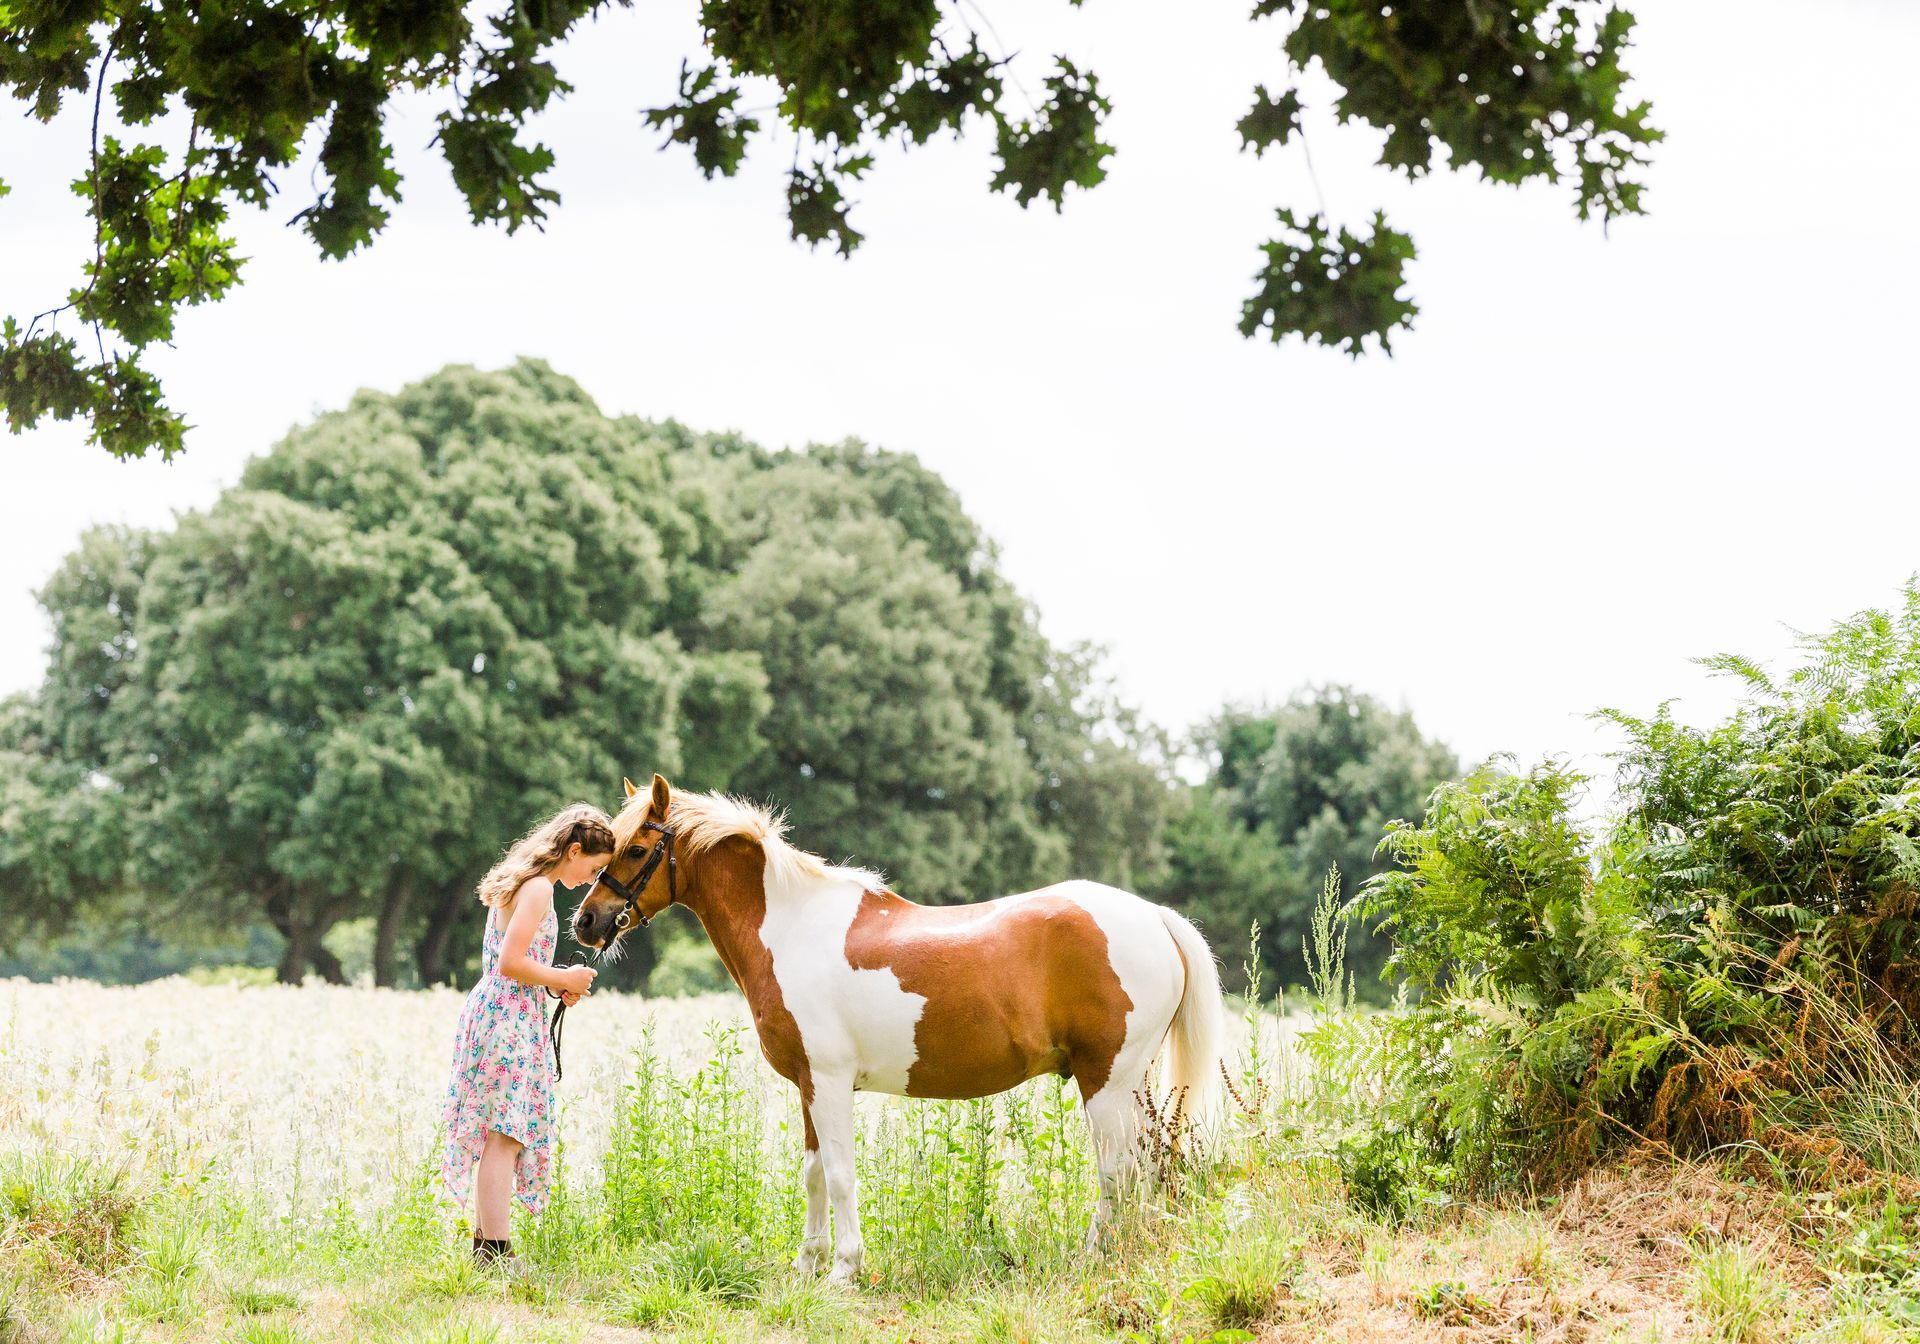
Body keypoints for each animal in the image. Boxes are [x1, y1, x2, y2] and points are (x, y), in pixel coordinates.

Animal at [570, 773, 1226, 1284]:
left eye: (636, 849)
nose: (586, 922)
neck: (792, 927)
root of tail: (1154, 917)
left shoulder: (831, 1083)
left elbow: (839, 1177)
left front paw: (844, 1270)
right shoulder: (809, 1086)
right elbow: (812, 1174)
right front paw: (807, 1265)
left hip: (1107, 1081)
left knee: (1119, 1171)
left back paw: (1096, 1259)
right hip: (1131, 1085)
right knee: (1152, 1165)